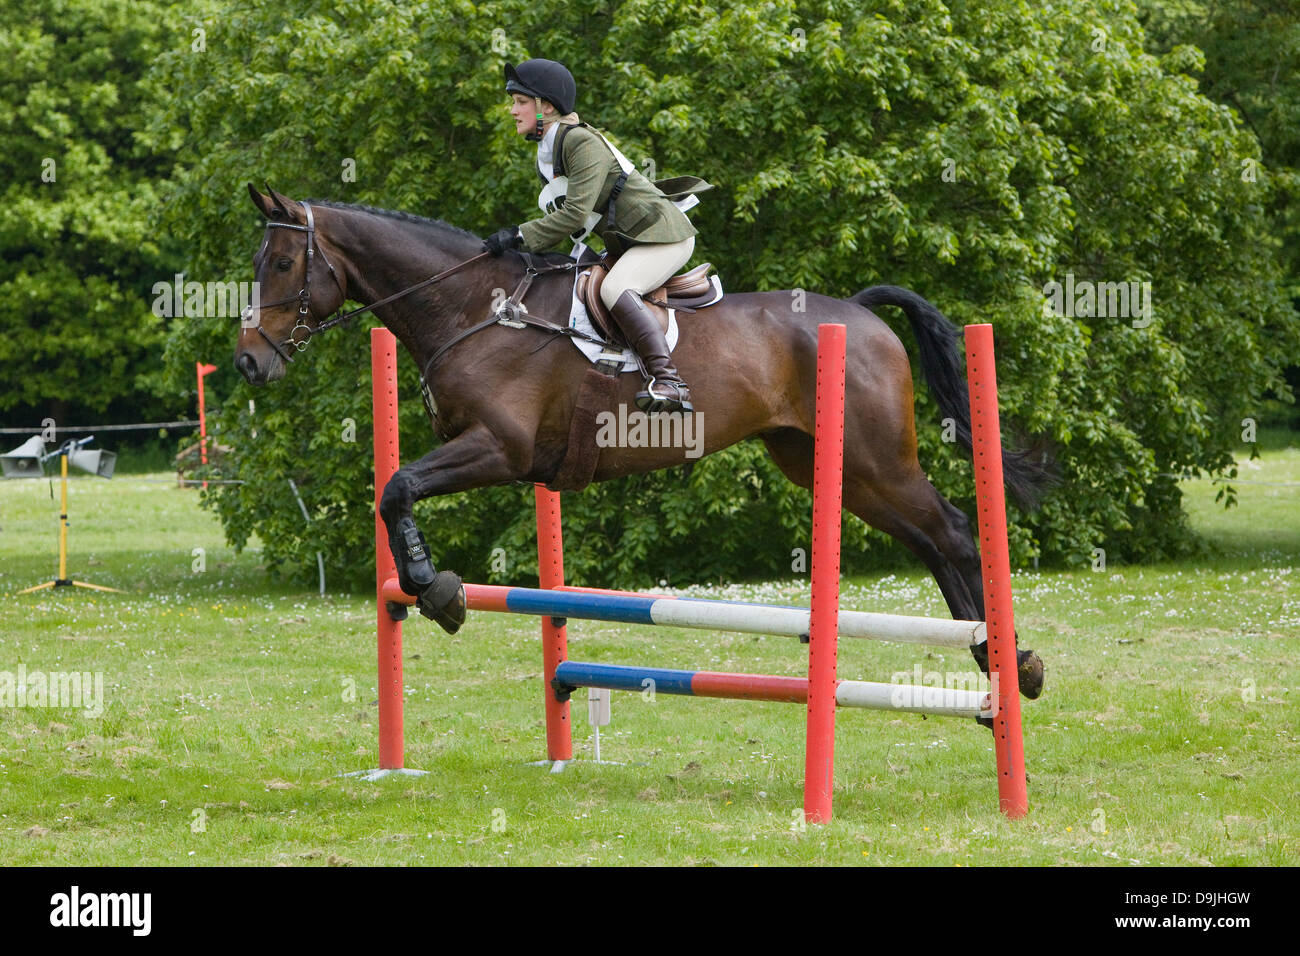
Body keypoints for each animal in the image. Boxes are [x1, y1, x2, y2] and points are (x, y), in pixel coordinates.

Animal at [233, 183, 1050, 697]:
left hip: (874, 461)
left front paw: (440, 592)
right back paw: (993, 663)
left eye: (283, 263)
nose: (247, 362)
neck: (474, 308)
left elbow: (396, 488)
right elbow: (395, 492)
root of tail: (860, 312)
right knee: (932, 540)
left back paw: (1011, 665)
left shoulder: (498, 449)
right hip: (833, 468)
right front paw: (432, 588)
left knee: (953, 532)